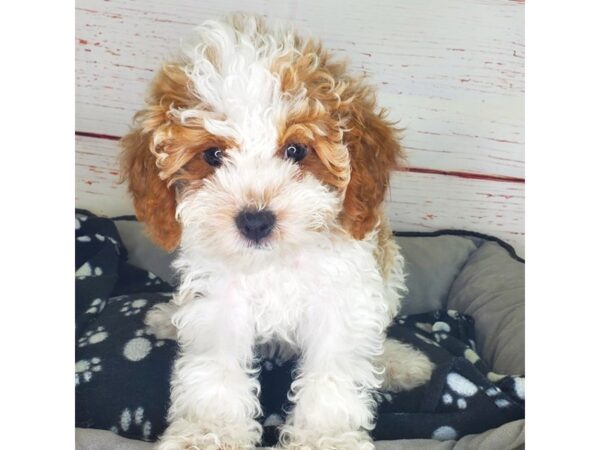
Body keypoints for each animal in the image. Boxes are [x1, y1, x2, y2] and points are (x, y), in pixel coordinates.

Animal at [120, 14, 432, 450]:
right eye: (212, 155)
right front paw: (209, 430)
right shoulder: (220, 301)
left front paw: (325, 436)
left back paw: (396, 361)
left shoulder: (340, 300)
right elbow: (214, 368)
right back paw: (168, 318)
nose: (255, 220)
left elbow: (333, 372)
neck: (274, 262)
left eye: (296, 151)